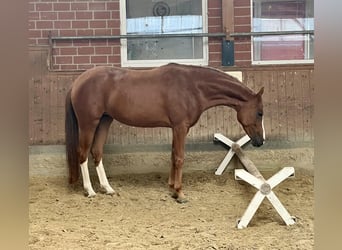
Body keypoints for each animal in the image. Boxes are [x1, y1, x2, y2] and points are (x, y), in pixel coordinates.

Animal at [65, 63, 266, 203]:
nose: (260, 141)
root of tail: (78, 82)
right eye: (259, 113)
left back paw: (107, 188)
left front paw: (171, 188)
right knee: (82, 154)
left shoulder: (176, 128)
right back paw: (89, 191)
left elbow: (172, 155)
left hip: (105, 121)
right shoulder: (180, 127)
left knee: (97, 152)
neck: (192, 87)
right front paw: (180, 193)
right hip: (89, 123)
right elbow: (179, 158)